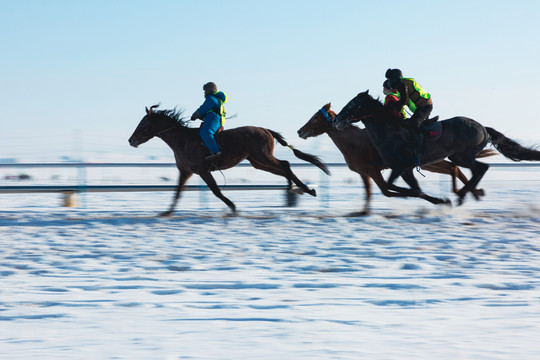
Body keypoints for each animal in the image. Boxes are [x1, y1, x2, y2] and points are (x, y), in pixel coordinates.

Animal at [127, 105, 330, 215]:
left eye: (144, 123)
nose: (131, 140)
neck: (182, 140)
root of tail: (265, 130)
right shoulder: (186, 171)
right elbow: (177, 192)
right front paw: (167, 211)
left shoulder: (203, 170)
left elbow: (216, 191)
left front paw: (232, 206)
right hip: (257, 162)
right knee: (284, 167)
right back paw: (295, 188)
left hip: (262, 157)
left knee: (285, 165)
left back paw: (305, 189)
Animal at [298, 101, 496, 214]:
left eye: (316, 117)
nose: (300, 131)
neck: (354, 141)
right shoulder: (364, 172)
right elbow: (373, 192)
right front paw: (362, 211)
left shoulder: (375, 169)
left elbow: (386, 190)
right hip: (432, 162)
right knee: (455, 168)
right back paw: (473, 192)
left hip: (432, 161)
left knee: (455, 168)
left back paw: (466, 192)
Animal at [332, 90, 540, 205]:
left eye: (352, 105)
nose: (335, 120)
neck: (390, 132)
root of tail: (483, 127)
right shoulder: (405, 169)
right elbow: (413, 189)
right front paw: (440, 200)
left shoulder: (400, 166)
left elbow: (400, 187)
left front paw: (436, 198)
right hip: (457, 156)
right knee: (477, 170)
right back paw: (468, 194)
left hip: (463, 156)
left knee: (481, 168)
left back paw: (463, 195)